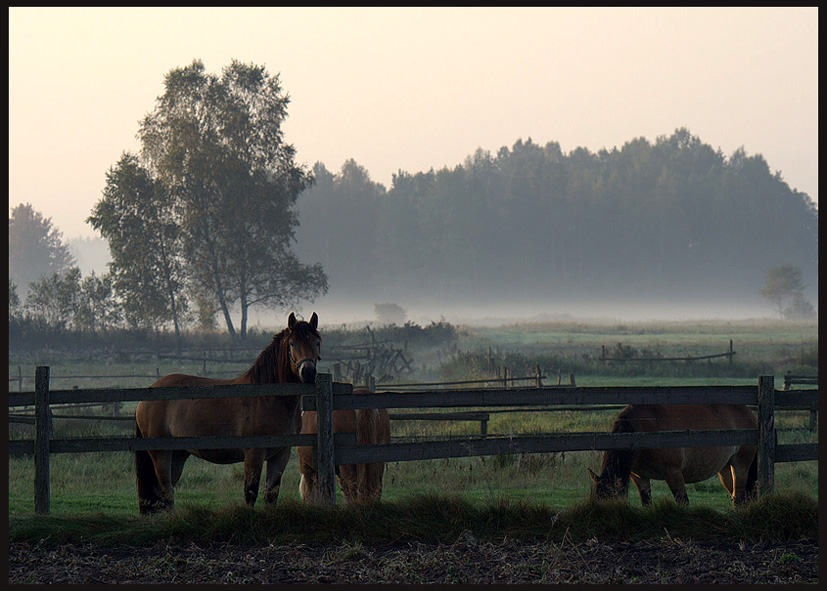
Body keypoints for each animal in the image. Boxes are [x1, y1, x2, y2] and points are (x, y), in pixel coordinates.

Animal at [136, 314, 320, 512]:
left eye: (317, 342)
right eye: (292, 343)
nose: (308, 372)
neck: (267, 397)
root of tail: (149, 391)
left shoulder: (281, 454)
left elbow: (271, 495)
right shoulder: (254, 453)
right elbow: (250, 492)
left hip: (178, 455)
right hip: (161, 453)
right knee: (166, 491)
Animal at [588, 408, 756, 508]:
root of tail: (749, 412)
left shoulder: (673, 473)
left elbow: (683, 501)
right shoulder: (639, 476)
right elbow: (646, 502)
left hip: (740, 465)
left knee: (739, 497)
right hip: (725, 469)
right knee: (734, 494)